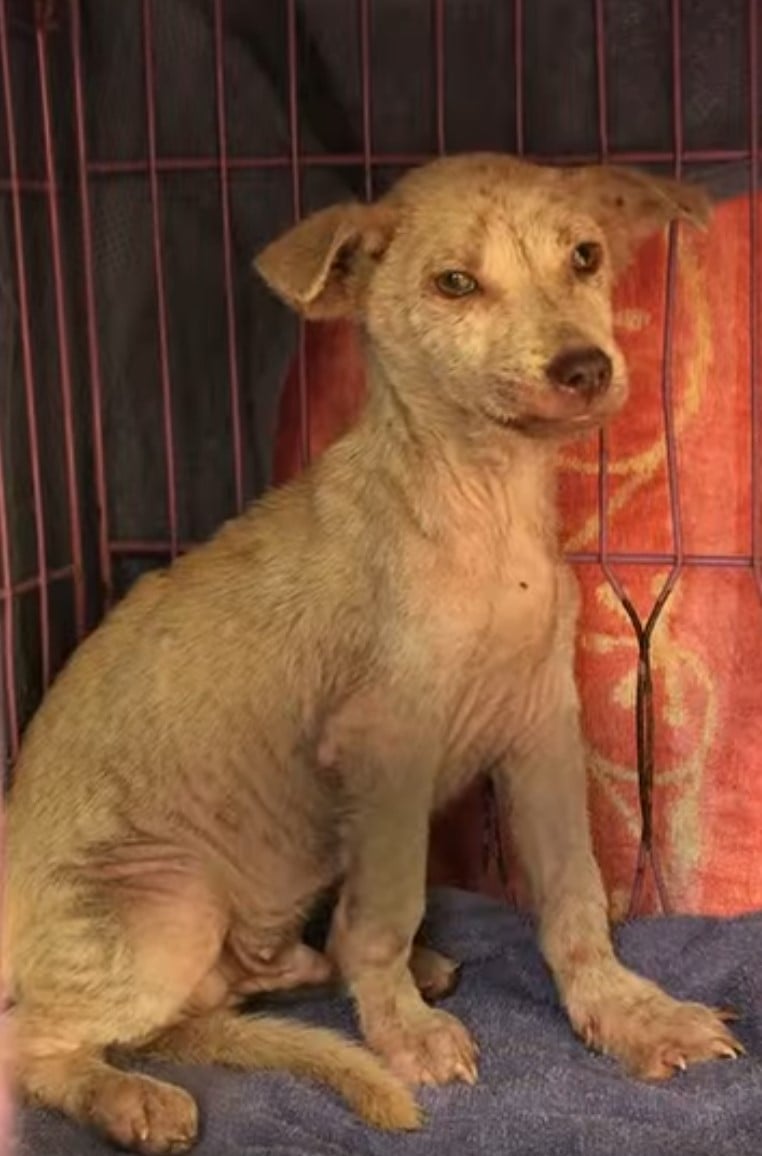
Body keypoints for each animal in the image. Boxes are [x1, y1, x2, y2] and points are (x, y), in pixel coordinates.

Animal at [1, 156, 740, 1156]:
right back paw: (132, 1099)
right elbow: (387, 908)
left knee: (231, 987)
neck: (484, 503)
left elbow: (575, 896)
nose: (586, 368)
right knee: (33, 1041)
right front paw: (403, 1034)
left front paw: (629, 1014)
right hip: (168, 906)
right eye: (454, 283)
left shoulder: (542, 731)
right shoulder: (387, 743)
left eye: (586, 256)